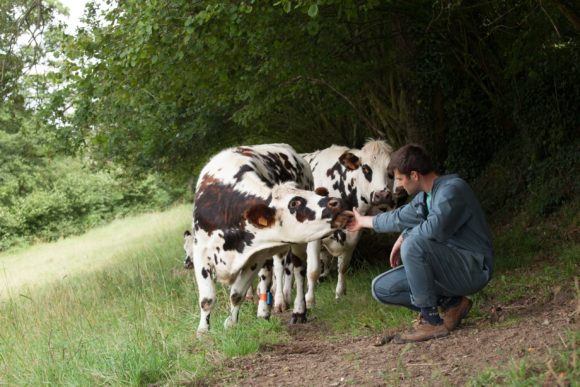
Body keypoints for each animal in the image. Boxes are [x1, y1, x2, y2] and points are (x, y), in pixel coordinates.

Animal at [190, 145, 348, 336]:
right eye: (294, 203)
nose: (336, 202)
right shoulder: (200, 252)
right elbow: (207, 299)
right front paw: (203, 331)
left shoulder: (254, 257)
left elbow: (237, 294)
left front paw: (231, 323)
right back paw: (265, 310)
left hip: (294, 246)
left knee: (295, 273)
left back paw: (296, 311)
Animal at [296, 139, 406, 310]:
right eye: (365, 168)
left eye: (390, 172)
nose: (382, 196)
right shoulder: (313, 237)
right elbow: (313, 270)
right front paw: (310, 301)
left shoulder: (352, 235)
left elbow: (343, 267)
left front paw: (340, 294)